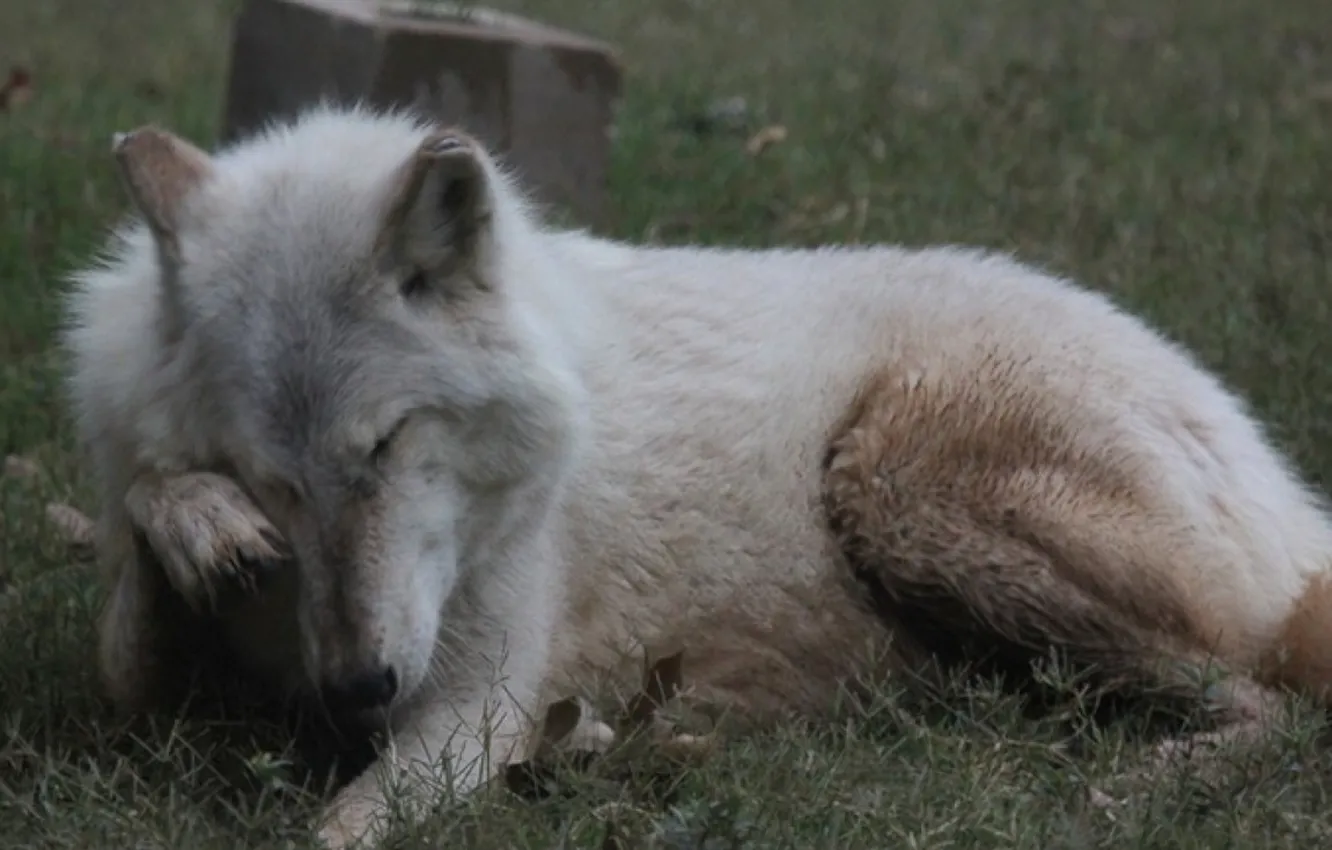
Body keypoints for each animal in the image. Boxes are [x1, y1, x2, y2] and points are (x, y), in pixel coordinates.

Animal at [60, 103, 1332, 847]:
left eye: (382, 445)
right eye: (267, 475)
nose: (356, 687)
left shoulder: (473, 703)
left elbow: (331, 830)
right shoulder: (146, 698)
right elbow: (129, 605)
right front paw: (196, 523)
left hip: (892, 484)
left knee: (1271, 706)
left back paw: (1142, 785)